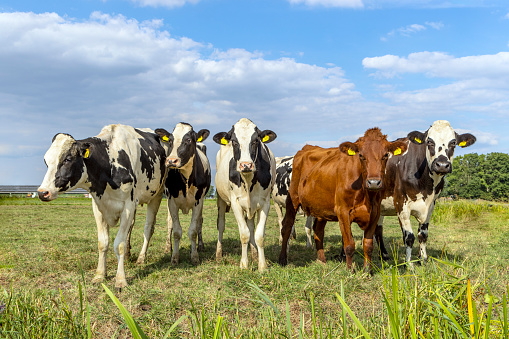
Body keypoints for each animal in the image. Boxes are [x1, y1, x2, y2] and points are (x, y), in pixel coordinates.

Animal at [38, 125, 169, 290]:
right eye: (46, 161)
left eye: (67, 159)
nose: (42, 192)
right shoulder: (98, 206)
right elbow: (103, 243)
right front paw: (100, 275)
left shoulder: (128, 206)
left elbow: (119, 244)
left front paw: (121, 280)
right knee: (131, 228)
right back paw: (127, 256)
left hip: (156, 194)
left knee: (148, 228)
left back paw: (141, 258)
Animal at [155, 123, 210, 266]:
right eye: (170, 140)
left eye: (189, 140)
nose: (171, 161)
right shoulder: (171, 202)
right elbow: (176, 231)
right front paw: (174, 257)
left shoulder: (198, 202)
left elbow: (193, 231)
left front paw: (195, 256)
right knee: (169, 223)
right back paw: (168, 247)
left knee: (200, 222)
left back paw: (201, 246)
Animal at [214, 118, 278, 272]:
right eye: (234, 141)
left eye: (256, 141)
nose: (246, 165)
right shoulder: (235, 202)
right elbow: (244, 234)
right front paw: (244, 264)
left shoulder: (265, 202)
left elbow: (259, 235)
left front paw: (262, 265)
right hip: (221, 199)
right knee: (221, 225)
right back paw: (218, 255)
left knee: (251, 226)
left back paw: (254, 254)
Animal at [276, 128, 406, 274]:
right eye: (361, 155)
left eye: (385, 155)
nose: (373, 182)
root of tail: (307, 148)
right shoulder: (342, 211)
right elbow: (349, 245)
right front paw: (350, 271)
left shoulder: (375, 213)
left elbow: (368, 245)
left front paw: (367, 271)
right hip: (292, 199)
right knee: (286, 227)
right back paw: (282, 259)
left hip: (321, 207)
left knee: (318, 231)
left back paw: (322, 260)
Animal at [374, 121, 476, 266]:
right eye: (429, 141)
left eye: (453, 142)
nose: (442, 165)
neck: (426, 185)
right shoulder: (401, 203)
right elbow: (409, 237)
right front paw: (409, 264)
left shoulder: (431, 204)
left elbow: (423, 234)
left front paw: (423, 258)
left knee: (378, 229)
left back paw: (383, 255)